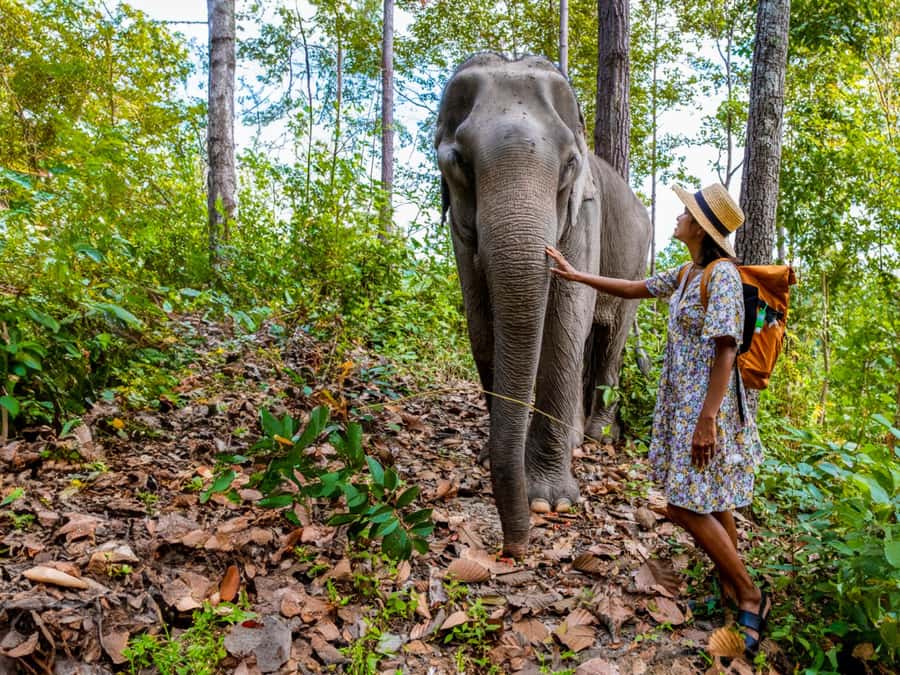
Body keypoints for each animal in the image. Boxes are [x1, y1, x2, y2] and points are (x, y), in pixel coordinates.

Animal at [435, 53, 652, 558]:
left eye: (570, 164)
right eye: (459, 162)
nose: (514, 546)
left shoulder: (586, 213)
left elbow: (567, 314)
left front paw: (549, 501)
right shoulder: (460, 228)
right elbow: (481, 320)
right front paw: (490, 457)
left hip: (636, 259)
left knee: (609, 339)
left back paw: (594, 437)